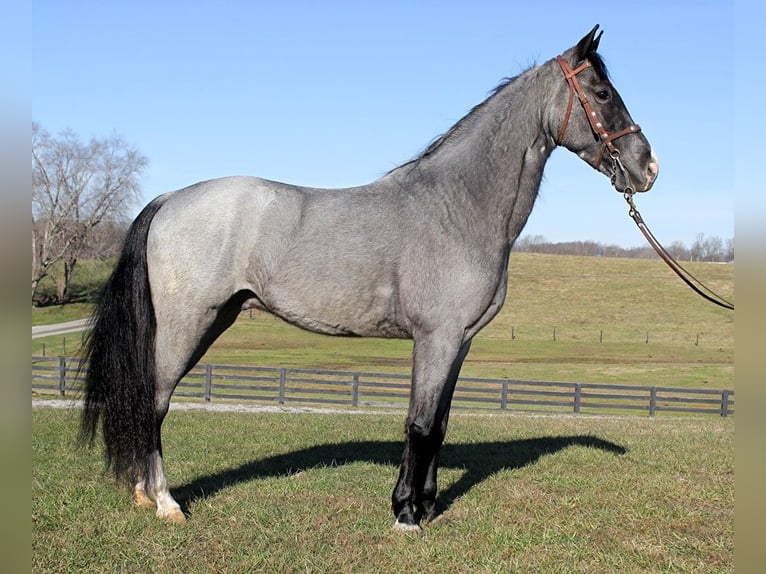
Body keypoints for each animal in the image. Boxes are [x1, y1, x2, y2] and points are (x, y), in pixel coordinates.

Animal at [80, 25, 659, 531]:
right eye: (603, 92)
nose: (648, 167)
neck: (457, 205)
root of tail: (169, 199)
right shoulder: (436, 338)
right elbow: (419, 425)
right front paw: (405, 514)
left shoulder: (459, 342)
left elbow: (439, 425)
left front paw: (427, 505)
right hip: (188, 326)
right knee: (153, 401)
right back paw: (165, 503)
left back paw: (143, 494)